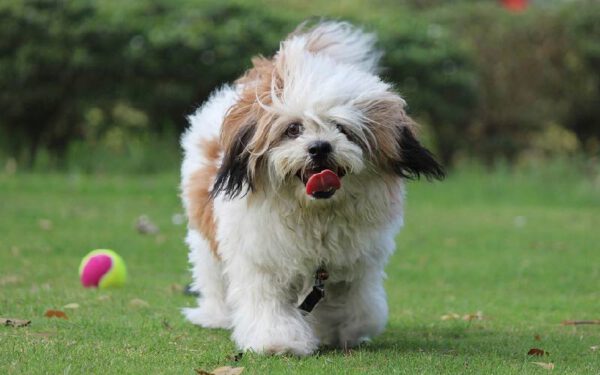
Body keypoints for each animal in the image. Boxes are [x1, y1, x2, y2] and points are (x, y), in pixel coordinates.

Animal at [180, 20, 442, 356]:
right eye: (293, 129)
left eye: (342, 129)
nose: (319, 147)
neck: (315, 213)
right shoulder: (261, 259)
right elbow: (269, 304)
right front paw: (278, 340)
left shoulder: (355, 265)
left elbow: (359, 309)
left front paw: (339, 330)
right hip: (206, 237)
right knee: (212, 275)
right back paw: (216, 315)